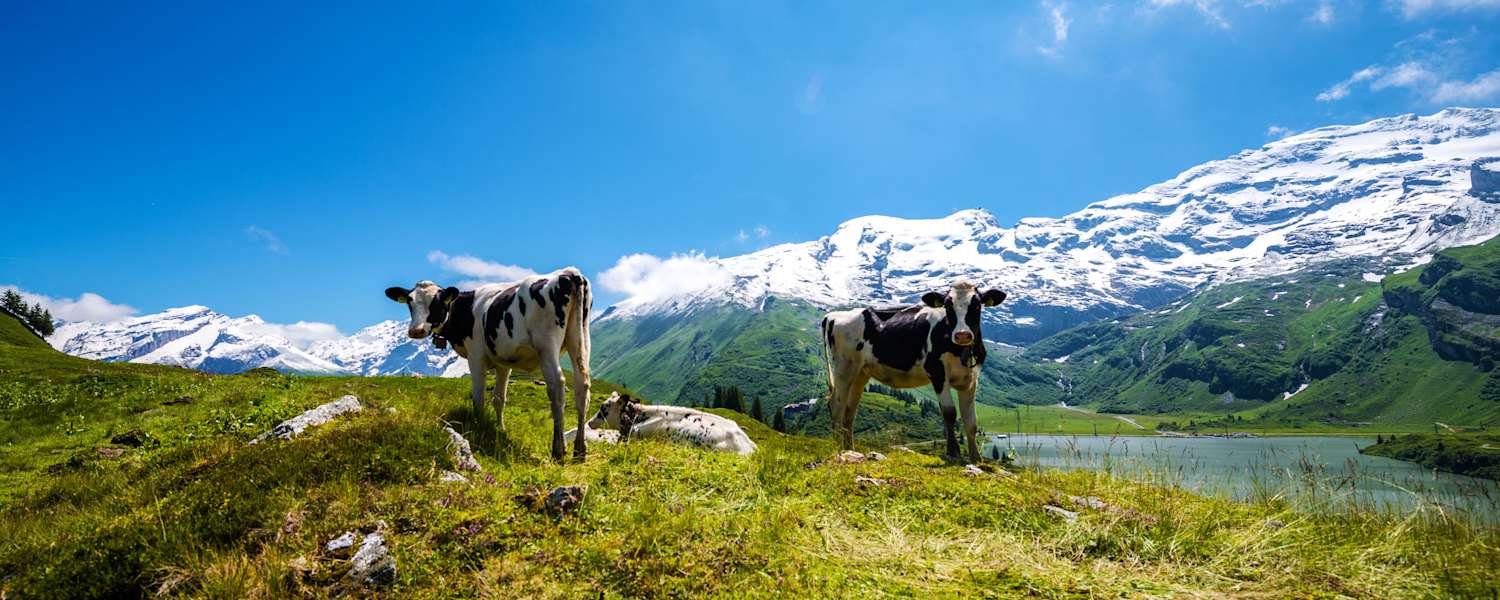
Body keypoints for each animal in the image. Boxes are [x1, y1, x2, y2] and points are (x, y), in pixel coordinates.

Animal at [384, 267, 593, 461]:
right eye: (410, 302)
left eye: (436, 302)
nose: (416, 331)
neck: (466, 309)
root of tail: (569, 272)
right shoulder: (504, 363)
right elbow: (499, 398)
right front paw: (500, 429)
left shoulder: (475, 357)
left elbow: (479, 397)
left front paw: (479, 427)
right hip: (580, 338)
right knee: (582, 385)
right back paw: (579, 450)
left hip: (546, 344)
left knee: (557, 385)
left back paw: (558, 450)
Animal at [819, 280, 1007, 463]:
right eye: (947, 306)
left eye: (977, 305)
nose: (962, 335)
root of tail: (833, 316)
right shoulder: (937, 373)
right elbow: (949, 413)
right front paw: (953, 453)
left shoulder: (971, 380)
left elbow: (971, 422)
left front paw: (976, 458)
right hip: (844, 367)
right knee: (836, 405)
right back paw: (837, 447)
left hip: (860, 373)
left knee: (850, 410)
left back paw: (849, 448)